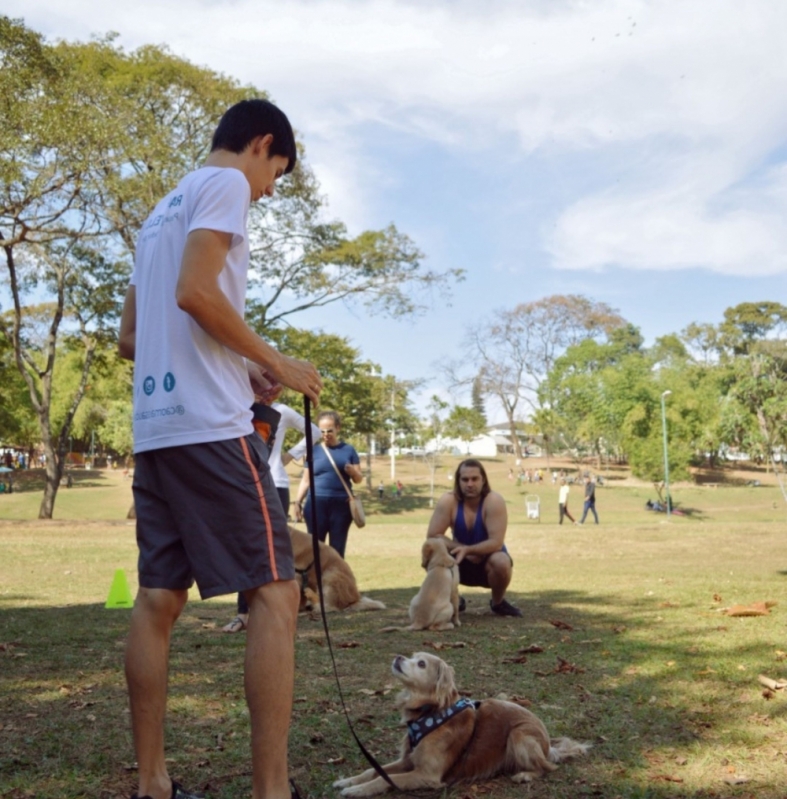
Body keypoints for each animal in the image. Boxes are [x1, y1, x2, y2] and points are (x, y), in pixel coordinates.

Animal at [334, 652, 592, 796]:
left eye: (421, 664)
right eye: (411, 656)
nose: (398, 657)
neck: (429, 712)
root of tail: (548, 745)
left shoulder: (427, 775)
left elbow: (384, 779)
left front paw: (356, 790)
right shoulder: (408, 760)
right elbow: (373, 770)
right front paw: (348, 781)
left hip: (519, 735)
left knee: (547, 767)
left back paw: (525, 775)